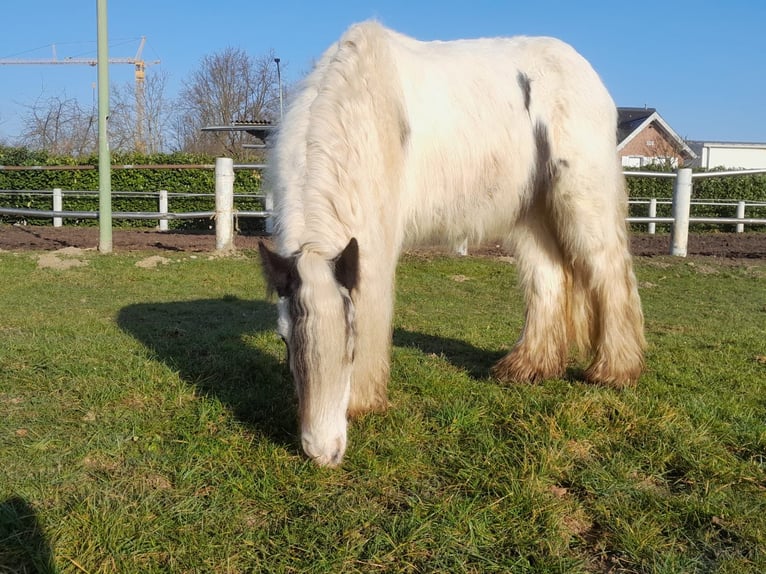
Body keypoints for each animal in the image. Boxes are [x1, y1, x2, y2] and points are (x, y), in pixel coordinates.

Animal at [260, 20, 648, 468]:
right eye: (284, 339)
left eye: (351, 342)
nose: (321, 452)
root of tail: (587, 74)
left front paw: (362, 401)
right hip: (531, 213)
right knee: (549, 277)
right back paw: (529, 367)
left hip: (583, 200)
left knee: (610, 273)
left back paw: (614, 372)